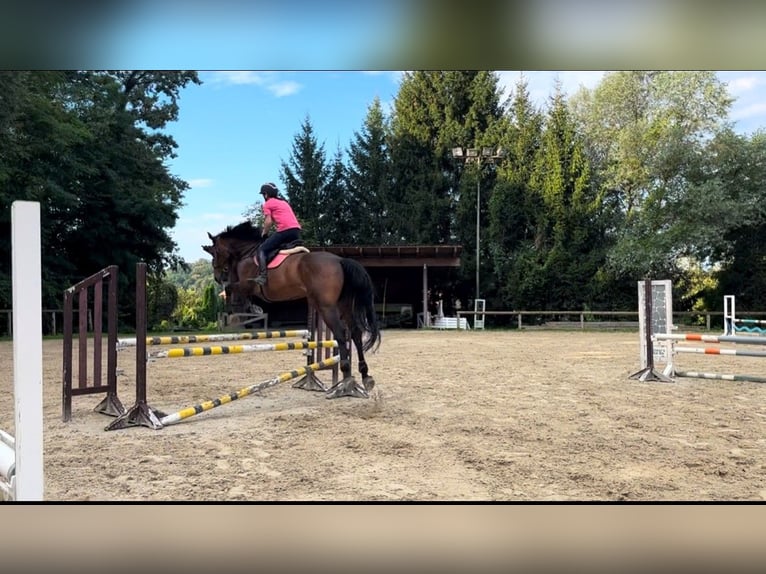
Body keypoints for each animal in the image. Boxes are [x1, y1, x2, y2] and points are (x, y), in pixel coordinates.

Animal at [202, 222, 382, 400]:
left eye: (215, 253)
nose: (217, 277)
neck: (248, 252)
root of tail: (340, 260)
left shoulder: (247, 284)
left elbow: (230, 288)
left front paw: (240, 307)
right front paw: (252, 308)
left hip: (327, 307)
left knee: (340, 333)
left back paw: (346, 378)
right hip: (343, 305)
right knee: (355, 333)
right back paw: (365, 376)